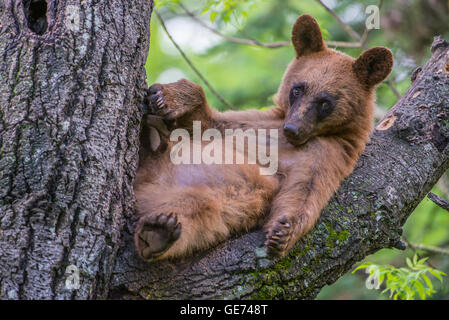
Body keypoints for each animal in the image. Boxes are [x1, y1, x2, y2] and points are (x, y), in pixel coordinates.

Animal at [133, 13, 392, 262]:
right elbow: (208, 124)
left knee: (198, 213)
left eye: (325, 103)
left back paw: (158, 232)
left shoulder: (328, 153)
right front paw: (168, 97)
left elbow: (306, 189)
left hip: (203, 201)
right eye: (298, 89)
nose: (292, 128)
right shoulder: (260, 124)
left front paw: (284, 231)